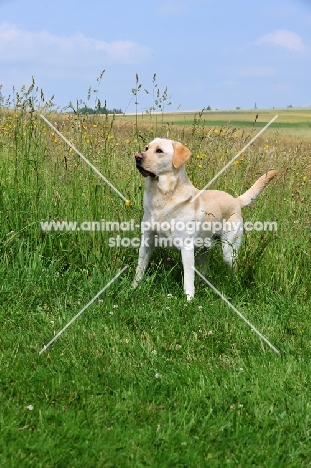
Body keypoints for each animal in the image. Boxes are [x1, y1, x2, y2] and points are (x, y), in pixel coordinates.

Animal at [134, 137, 278, 298]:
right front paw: (133, 288)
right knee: (204, 272)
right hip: (203, 251)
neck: (162, 197)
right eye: (146, 148)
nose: (137, 157)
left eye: (159, 151)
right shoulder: (146, 242)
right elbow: (139, 269)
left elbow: (188, 278)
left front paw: (189, 299)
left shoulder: (186, 247)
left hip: (229, 251)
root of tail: (236, 200)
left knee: (232, 269)